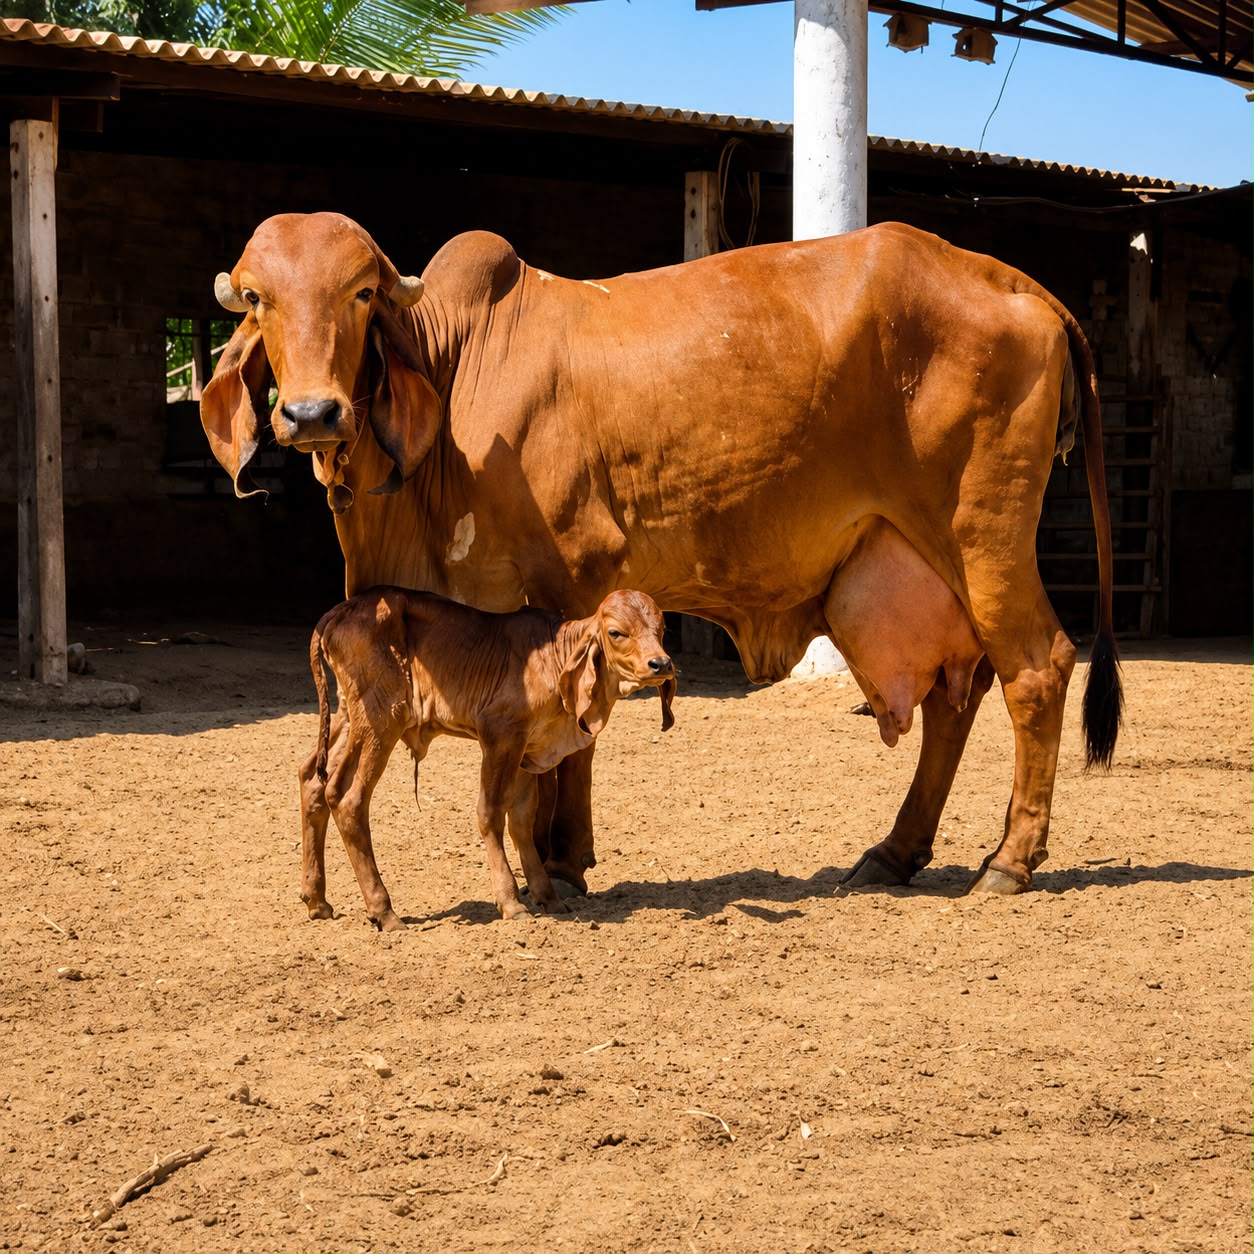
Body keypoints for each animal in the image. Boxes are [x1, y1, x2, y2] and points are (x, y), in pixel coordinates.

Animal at [302, 587, 676, 930]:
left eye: (661, 628)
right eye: (616, 632)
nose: (661, 663)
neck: (554, 660)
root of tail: (340, 610)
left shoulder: (525, 748)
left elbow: (521, 819)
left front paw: (549, 898)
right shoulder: (499, 735)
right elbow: (491, 814)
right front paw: (510, 902)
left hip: (349, 717)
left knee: (313, 781)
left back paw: (317, 900)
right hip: (382, 719)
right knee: (347, 799)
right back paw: (384, 911)